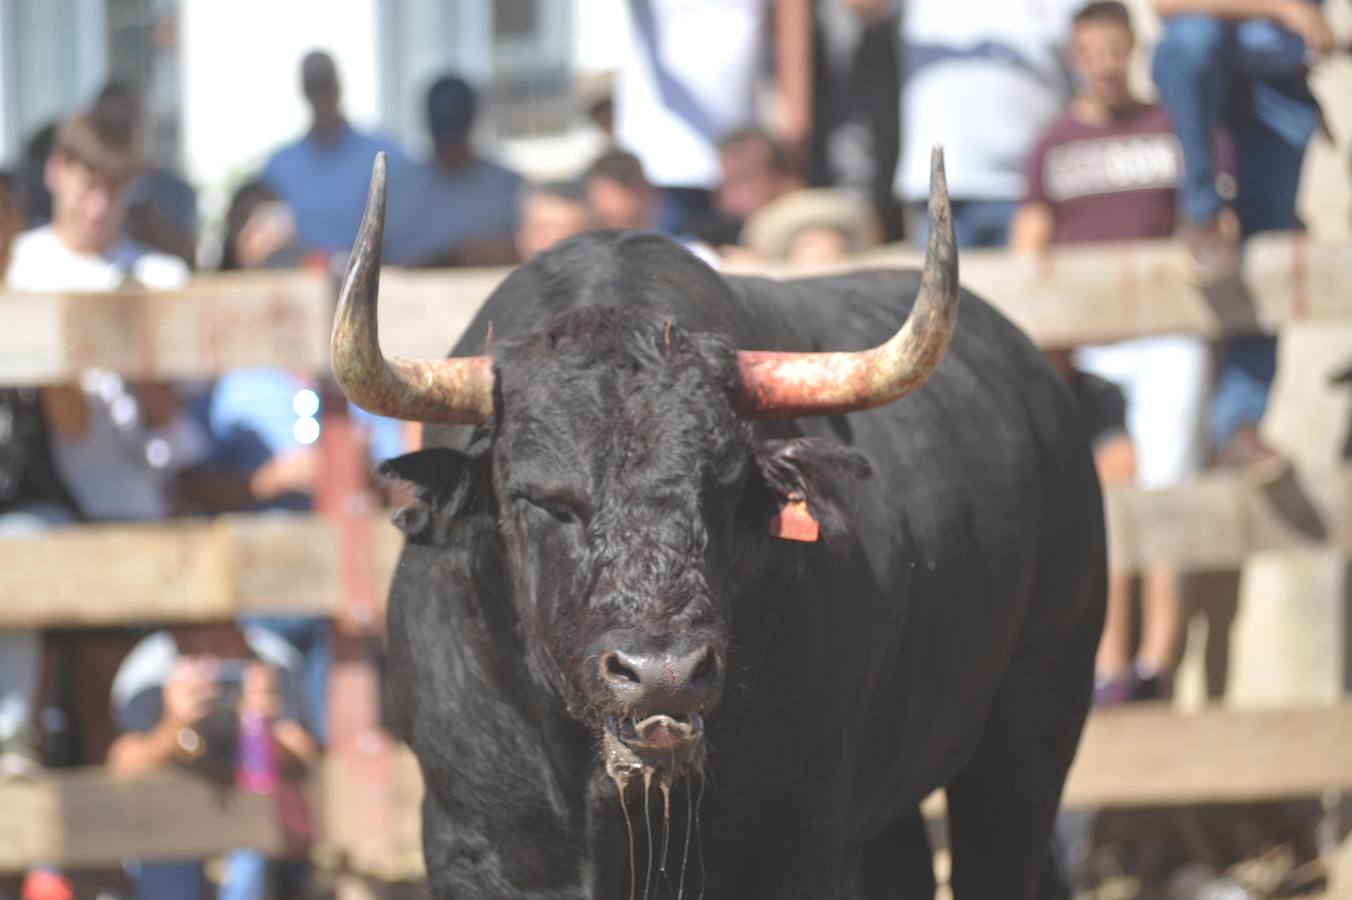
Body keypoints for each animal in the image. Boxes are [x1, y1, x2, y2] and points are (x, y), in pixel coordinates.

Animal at [346, 170, 1108, 897]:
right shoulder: (477, 847)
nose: (664, 675)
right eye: (540, 498)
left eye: (728, 484)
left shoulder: (795, 843)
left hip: (1033, 726)